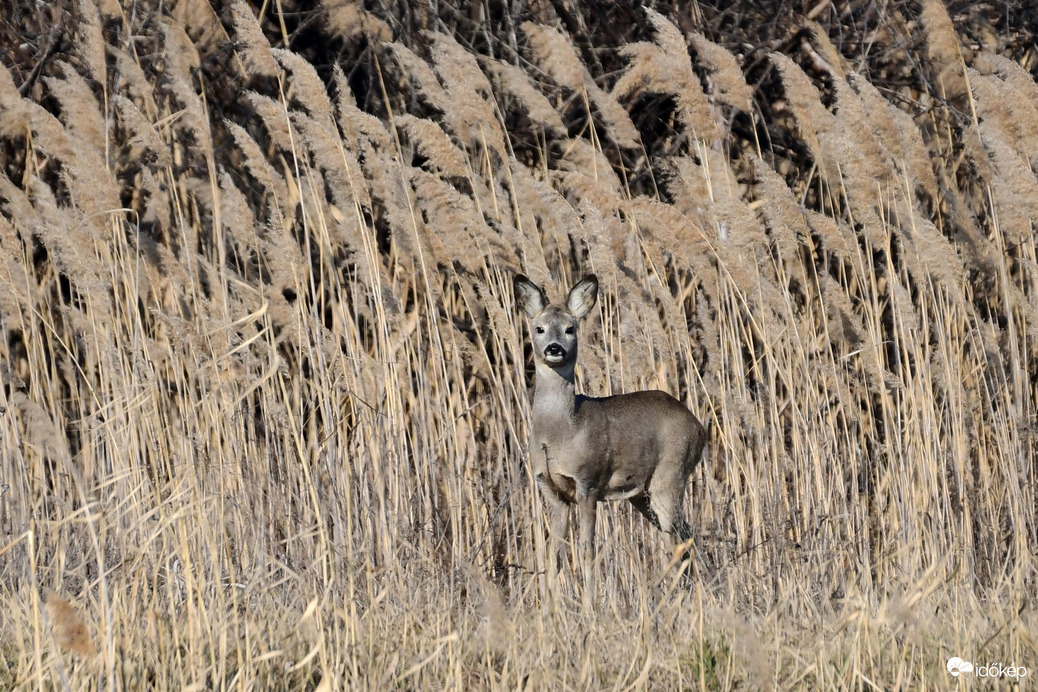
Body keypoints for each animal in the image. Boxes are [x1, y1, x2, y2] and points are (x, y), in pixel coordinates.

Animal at [510, 271, 705, 580]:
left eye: (570, 329)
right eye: (539, 328)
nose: (554, 348)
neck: (560, 434)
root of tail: (700, 427)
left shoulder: (587, 482)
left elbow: (587, 551)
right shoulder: (552, 491)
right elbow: (555, 556)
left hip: (670, 475)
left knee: (679, 540)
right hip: (642, 494)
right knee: (684, 535)